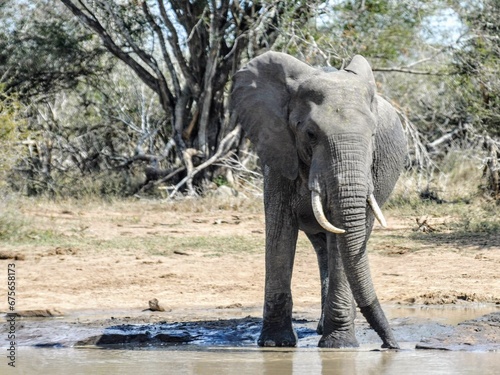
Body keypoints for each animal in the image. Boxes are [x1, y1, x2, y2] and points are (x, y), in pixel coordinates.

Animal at [230, 50, 406, 350]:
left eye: (373, 135)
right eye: (311, 134)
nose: (391, 345)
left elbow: (342, 238)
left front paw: (340, 346)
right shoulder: (278, 150)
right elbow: (280, 231)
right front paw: (275, 345)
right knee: (323, 247)